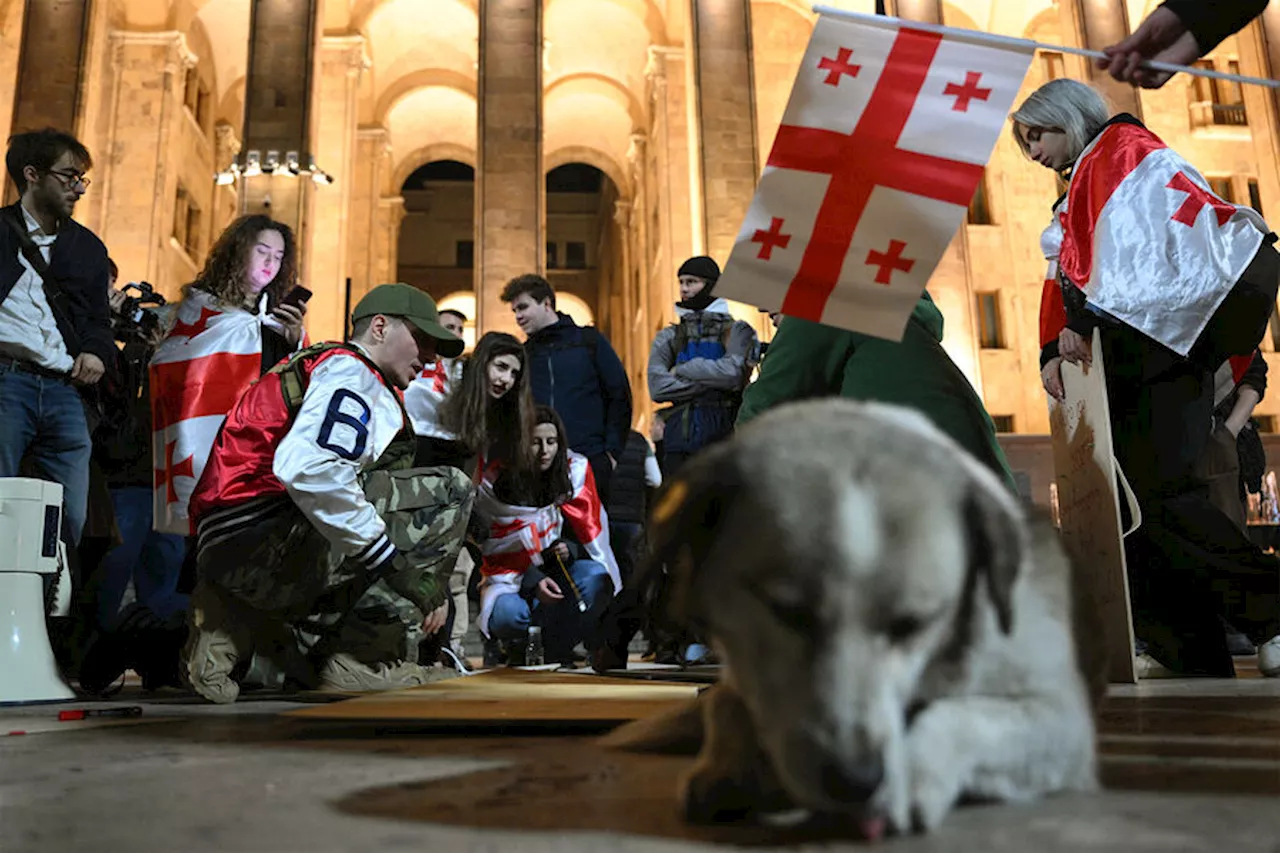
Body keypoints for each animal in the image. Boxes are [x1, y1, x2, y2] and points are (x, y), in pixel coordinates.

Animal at [604, 399, 1105, 835]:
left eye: (914, 624)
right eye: (787, 611)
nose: (855, 779)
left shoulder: (1062, 720)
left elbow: (963, 717)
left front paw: (911, 772)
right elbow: (726, 704)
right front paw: (727, 767)